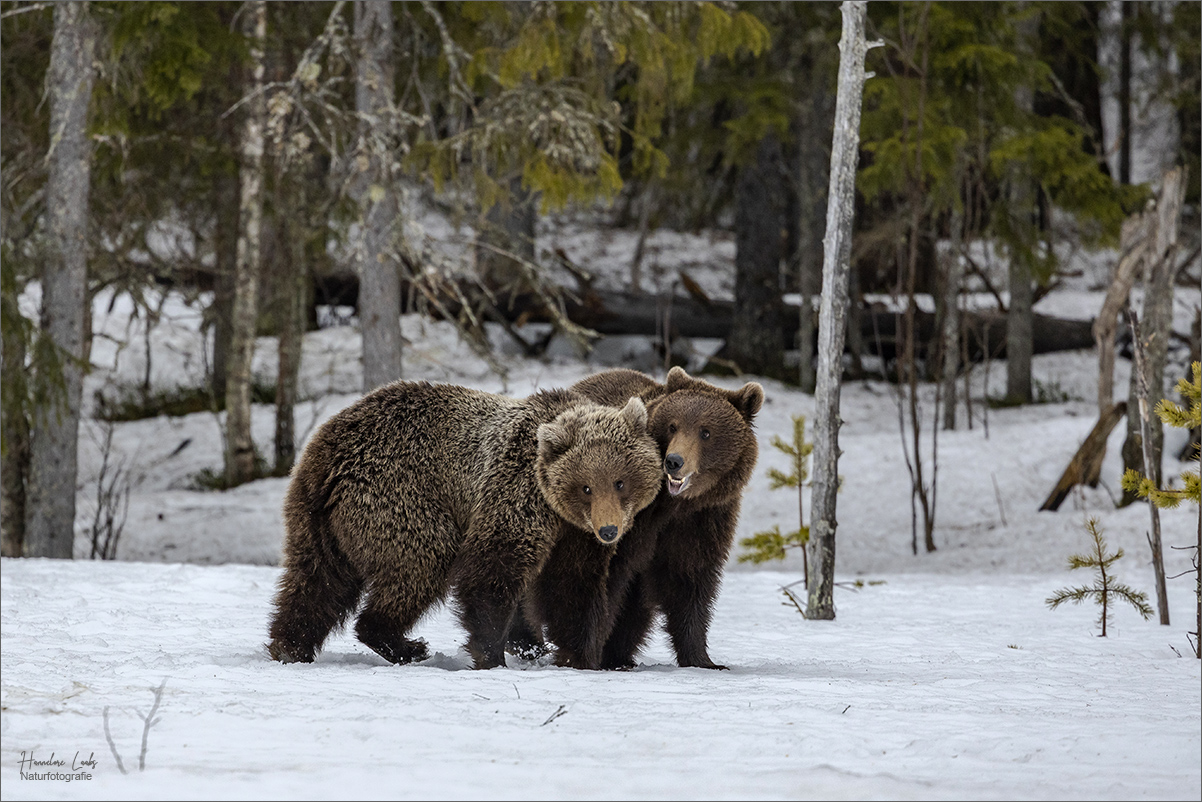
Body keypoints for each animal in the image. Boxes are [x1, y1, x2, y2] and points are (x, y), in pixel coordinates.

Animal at [268, 379, 663, 668]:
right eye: (586, 486)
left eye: (620, 482)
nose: (609, 530)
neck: (557, 508)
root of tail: (326, 450)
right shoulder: (515, 493)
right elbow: (492, 570)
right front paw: (491, 654)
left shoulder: (575, 534)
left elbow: (572, 585)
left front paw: (579, 653)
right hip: (398, 497)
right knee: (422, 562)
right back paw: (404, 643)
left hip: (315, 517)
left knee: (317, 579)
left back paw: (290, 646)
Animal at [514, 367, 759, 668]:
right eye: (673, 426)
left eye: (706, 431)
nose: (674, 461)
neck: (672, 505)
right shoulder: (619, 522)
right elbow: (583, 581)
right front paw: (583, 655)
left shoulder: (701, 519)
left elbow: (689, 578)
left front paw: (703, 659)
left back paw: (620, 657)